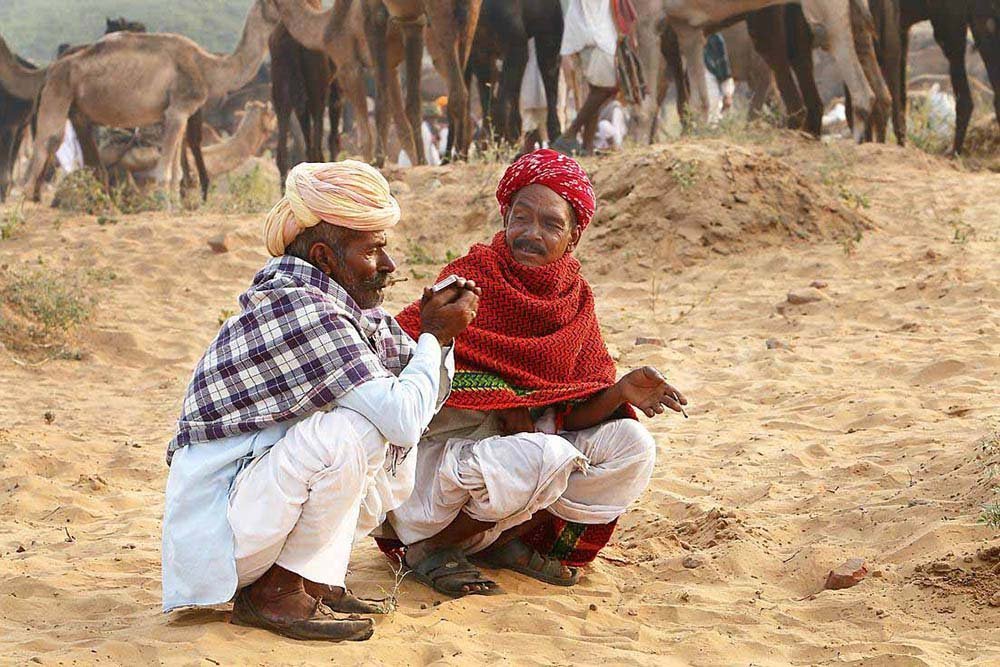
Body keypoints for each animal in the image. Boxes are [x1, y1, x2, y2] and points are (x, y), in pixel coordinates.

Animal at [17, 0, 282, 201]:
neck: (207, 67)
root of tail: (50, 71)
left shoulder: (181, 113)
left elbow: (176, 170)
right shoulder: (177, 111)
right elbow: (165, 173)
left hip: (73, 106)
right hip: (58, 92)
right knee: (46, 146)